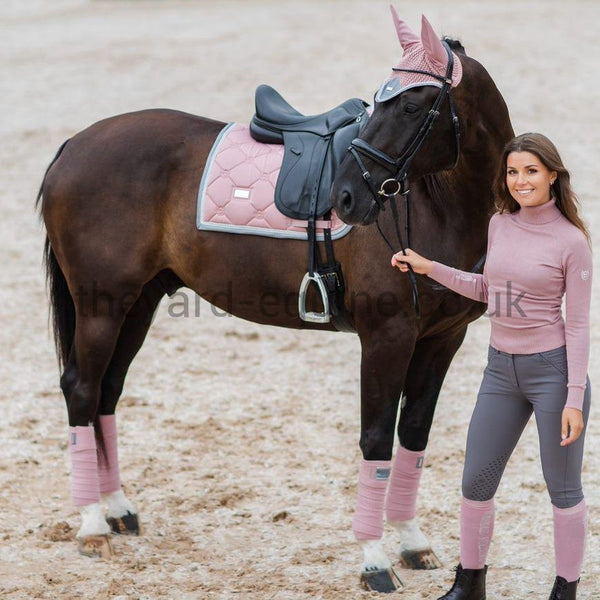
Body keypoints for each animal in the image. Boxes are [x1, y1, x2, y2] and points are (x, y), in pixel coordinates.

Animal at [38, 5, 510, 596]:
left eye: (410, 103)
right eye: (380, 100)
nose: (345, 196)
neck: (435, 205)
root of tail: (75, 145)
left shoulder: (443, 338)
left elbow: (414, 436)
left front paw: (411, 541)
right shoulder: (388, 337)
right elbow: (377, 438)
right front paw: (374, 560)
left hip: (138, 302)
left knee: (106, 391)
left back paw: (118, 509)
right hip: (102, 305)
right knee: (81, 388)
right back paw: (92, 526)